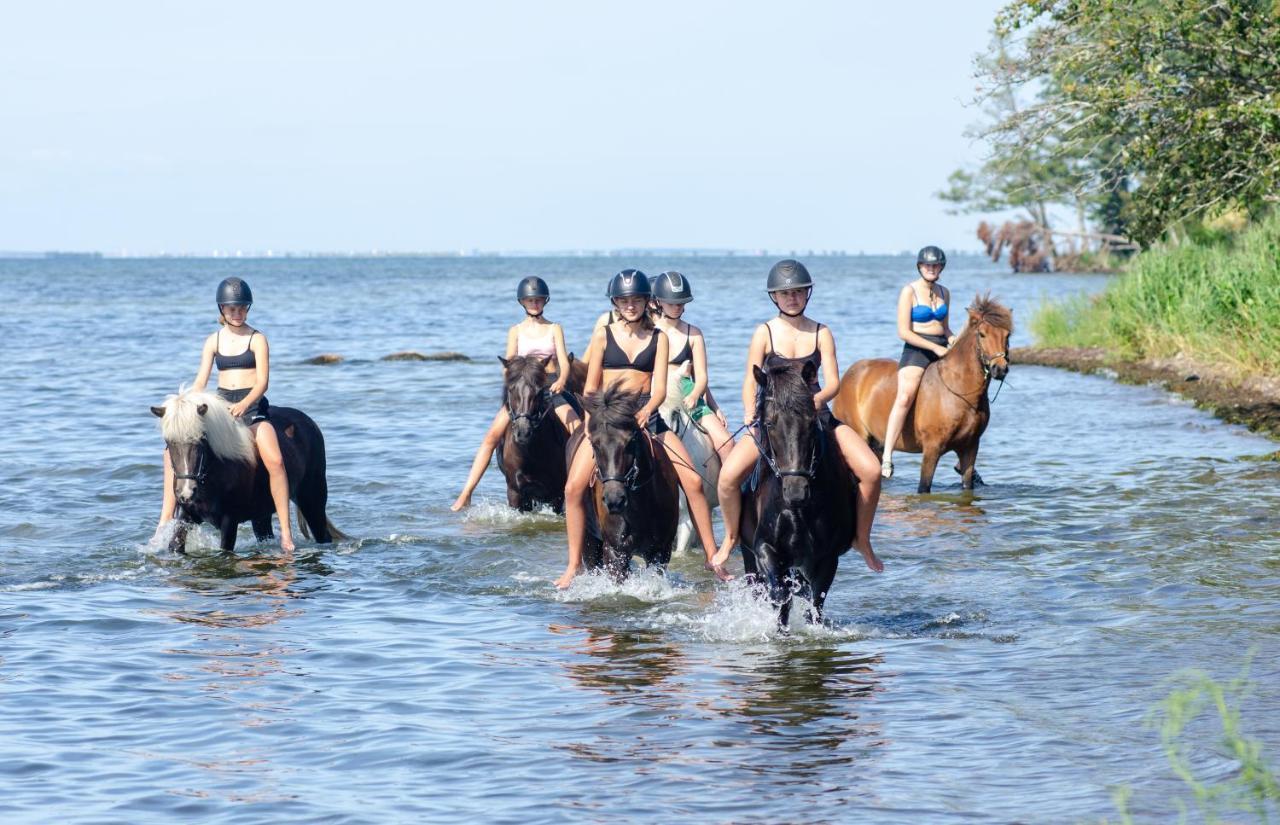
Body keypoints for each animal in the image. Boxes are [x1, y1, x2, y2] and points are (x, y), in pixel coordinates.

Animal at [151, 388, 340, 552]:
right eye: (169, 442)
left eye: (201, 439)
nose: (187, 492)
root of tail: (310, 423)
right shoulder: (186, 515)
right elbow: (175, 545)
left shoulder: (229, 521)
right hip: (262, 513)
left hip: (312, 500)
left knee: (323, 535)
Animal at [576, 383, 686, 578]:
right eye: (594, 443)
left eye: (630, 441)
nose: (614, 500)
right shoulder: (615, 552)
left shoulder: (661, 551)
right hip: (589, 543)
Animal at [737, 358, 855, 624]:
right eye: (769, 424)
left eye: (811, 423)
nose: (796, 491)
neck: (796, 511)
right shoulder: (764, 548)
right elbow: (781, 596)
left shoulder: (826, 558)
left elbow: (815, 603)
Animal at [834, 292, 1013, 491]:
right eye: (982, 334)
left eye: (1007, 335)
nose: (1000, 369)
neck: (961, 392)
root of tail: (849, 375)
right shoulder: (932, 449)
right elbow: (924, 487)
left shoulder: (970, 448)